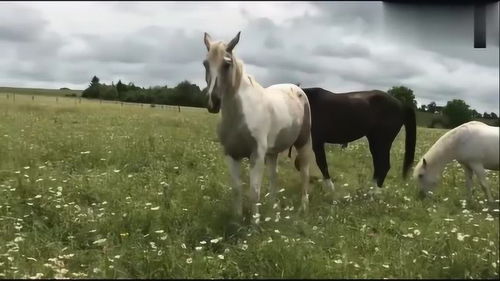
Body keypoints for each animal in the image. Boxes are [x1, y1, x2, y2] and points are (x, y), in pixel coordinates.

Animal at [200, 30, 310, 219]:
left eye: (227, 64)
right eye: (206, 64)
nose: (213, 103)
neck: (238, 116)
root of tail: (297, 88)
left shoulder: (257, 155)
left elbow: (254, 191)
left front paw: (255, 223)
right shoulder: (231, 154)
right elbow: (236, 189)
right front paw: (237, 220)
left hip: (302, 143)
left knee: (304, 172)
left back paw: (303, 207)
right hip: (272, 152)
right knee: (274, 176)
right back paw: (273, 209)